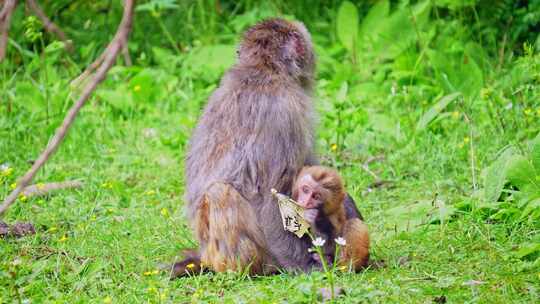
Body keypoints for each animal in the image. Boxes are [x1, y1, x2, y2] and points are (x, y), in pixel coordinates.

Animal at [172, 17, 368, 278]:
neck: (264, 70)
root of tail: (206, 255)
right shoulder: (286, 111)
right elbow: (271, 194)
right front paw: (304, 265)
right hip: (247, 253)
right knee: (219, 193)